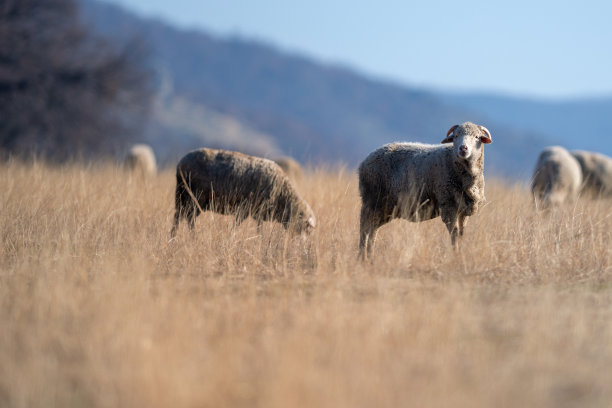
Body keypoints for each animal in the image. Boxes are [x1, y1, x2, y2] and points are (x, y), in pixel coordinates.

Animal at [171, 147, 316, 236]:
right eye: (306, 230)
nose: (302, 250)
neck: (283, 194)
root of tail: (180, 163)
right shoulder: (246, 209)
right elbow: (238, 226)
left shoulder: (257, 212)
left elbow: (258, 228)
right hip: (194, 198)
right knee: (189, 219)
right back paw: (192, 236)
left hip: (182, 197)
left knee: (178, 217)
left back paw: (173, 237)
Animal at [358, 121, 492, 260]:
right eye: (455, 136)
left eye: (477, 137)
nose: (463, 148)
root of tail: (364, 162)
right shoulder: (448, 204)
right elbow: (454, 233)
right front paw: (455, 255)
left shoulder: (464, 209)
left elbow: (461, 233)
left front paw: (460, 253)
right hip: (372, 200)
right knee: (364, 228)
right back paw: (362, 257)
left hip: (385, 207)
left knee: (373, 230)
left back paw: (370, 256)